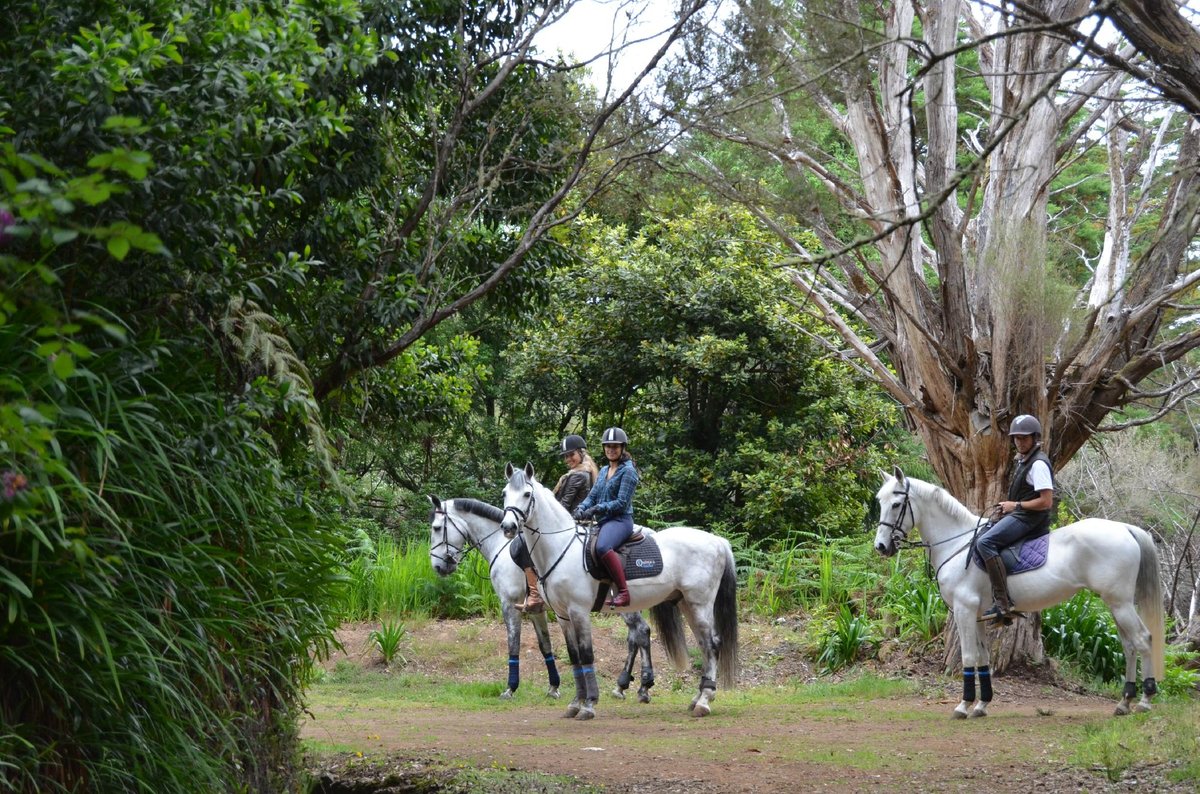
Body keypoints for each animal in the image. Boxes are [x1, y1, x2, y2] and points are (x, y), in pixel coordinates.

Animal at [427, 498, 657, 705]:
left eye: (436, 528)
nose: (438, 566)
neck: (501, 545)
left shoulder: (509, 604)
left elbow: (514, 643)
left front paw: (510, 688)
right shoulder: (536, 610)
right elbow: (545, 644)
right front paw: (554, 686)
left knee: (641, 632)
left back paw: (642, 686)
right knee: (635, 636)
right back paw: (624, 685)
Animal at [499, 462, 739, 724]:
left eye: (527, 494)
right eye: (505, 493)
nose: (508, 527)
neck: (561, 547)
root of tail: (717, 541)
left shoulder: (579, 612)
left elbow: (587, 655)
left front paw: (589, 704)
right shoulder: (563, 616)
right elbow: (574, 657)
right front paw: (575, 704)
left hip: (700, 604)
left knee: (712, 645)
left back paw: (704, 701)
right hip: (686, 603)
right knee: (704, 645)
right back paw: (697, 698)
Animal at [873, 470, 1161, 719]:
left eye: (896, 504)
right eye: (880, 502)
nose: (881, 546)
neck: (957, 543)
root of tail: (1124, 528)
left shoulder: (965, 610)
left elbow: (969, 657)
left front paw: (964, 705)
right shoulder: (978, 615)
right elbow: (983, 658)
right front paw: (982, 704)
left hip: (1120, 603)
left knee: (1142, 639)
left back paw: (1145, 700)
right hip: (1115, 604)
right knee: (1129, 645)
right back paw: (1125, 701)